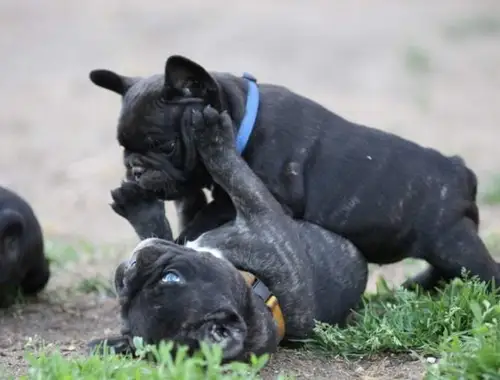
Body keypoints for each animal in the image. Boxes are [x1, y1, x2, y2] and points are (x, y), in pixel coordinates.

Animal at [89, 106, 368, 362]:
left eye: (171, 277)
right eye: (123, 309)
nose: (128, 270)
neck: (260, 288)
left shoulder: (260, 212)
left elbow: (232, 173)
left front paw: (211, 134)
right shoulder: (260, 211)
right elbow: (234, 173)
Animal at [90, 54, 500, 290]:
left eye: (164, 146)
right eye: (123, 147)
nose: (135, 168)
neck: (243, 119)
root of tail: (461, 172)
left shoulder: (267, 196)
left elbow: (206, 217)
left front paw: (185, 236)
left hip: (453, 244)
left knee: (482, 270)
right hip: (446, 247)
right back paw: (417, 285)